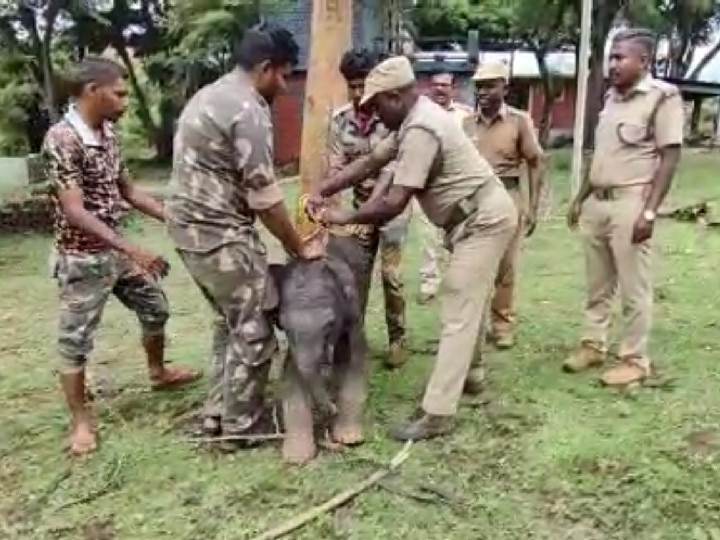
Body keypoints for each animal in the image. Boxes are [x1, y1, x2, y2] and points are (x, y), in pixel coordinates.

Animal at [270, 239, 372, 464]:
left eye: (330, 324)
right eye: (283, 325)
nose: (331, 409)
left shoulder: (352, 315)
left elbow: (354, 358)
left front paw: (350, 438)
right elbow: (293, 373)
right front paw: (296, 457)